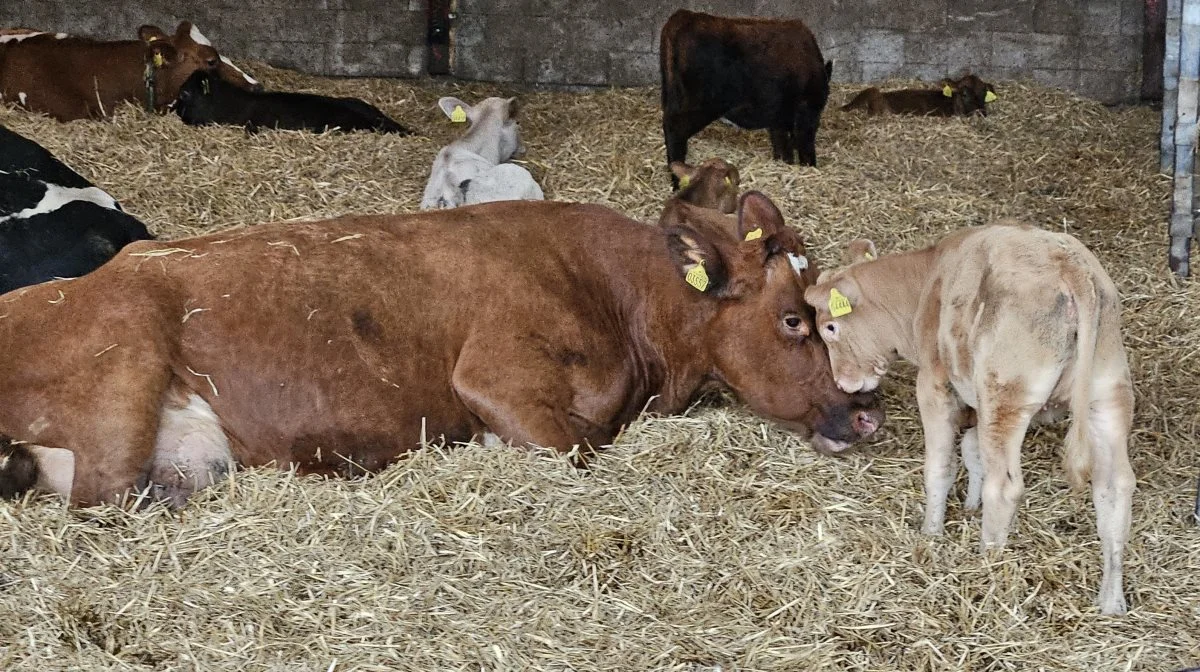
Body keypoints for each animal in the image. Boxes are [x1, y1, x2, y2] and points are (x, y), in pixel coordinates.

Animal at [0, 194, 883, 508]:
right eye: (795, 321)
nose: (870, 411)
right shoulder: (492, 376)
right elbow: (577, 451)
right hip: (127, 365)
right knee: (102, 499)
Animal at [662, 10, 830, 187]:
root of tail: (684, 16)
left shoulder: (779, 116)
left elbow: (781, 143)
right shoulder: (807, 111)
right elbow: (805, 141)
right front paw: (810, 166)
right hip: (700, 106)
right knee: (675, 131)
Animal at [806, 224, 1132, 614]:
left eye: (830, 329)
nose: (843, 382)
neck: (924, 284)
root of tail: (1069, 265)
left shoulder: (935, 386)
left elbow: (940, 466)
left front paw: (931, 532)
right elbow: (971, 446)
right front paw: (970, 503)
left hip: (1004, 395)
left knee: (1004, 486)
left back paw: (986, 568)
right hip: (1107, 394)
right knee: (1115, 487)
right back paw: (1111, 602)